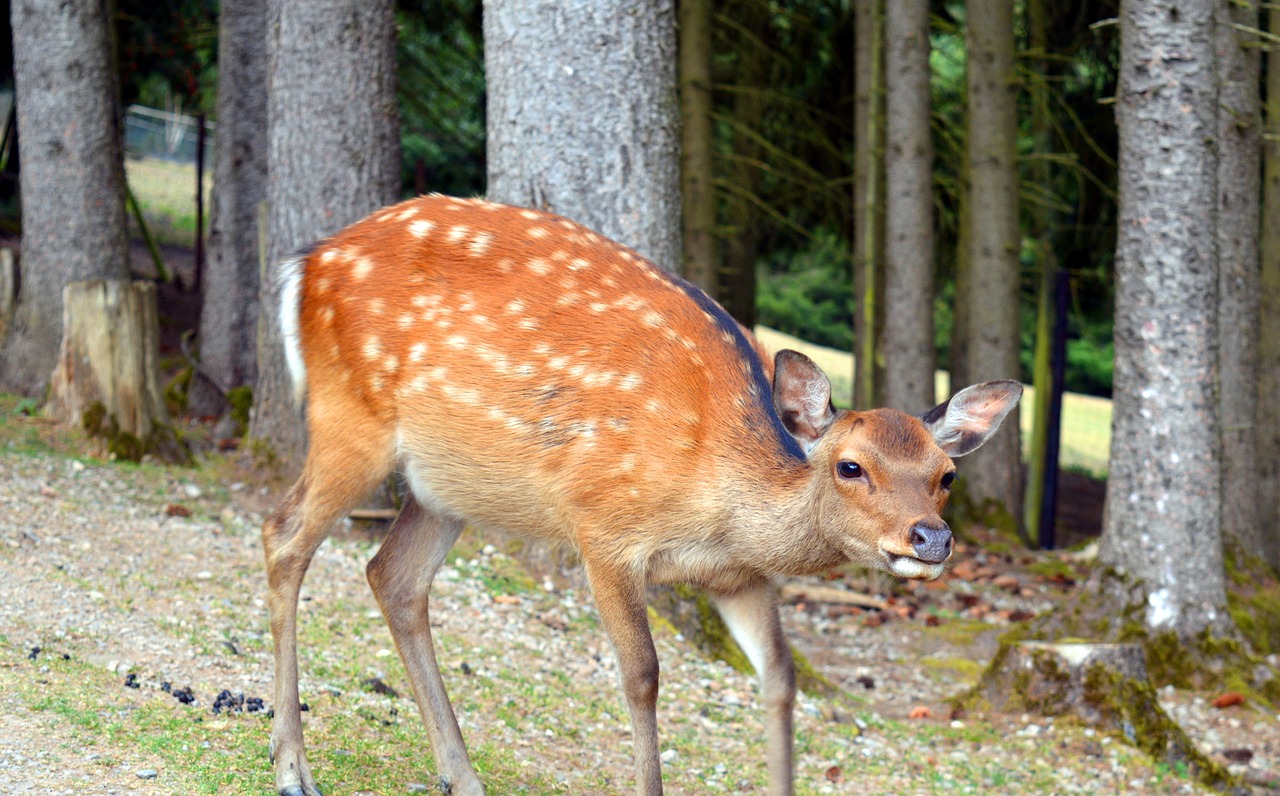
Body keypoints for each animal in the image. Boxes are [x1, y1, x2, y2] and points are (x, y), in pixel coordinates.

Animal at [259, 194, 1018, 796]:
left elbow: (780, 680)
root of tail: (306, 265)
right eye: (851, 467)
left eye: (945, 475)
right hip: (350, 417)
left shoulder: (739, 575)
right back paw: (293, 767)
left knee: (393, 575)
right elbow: (643, 675)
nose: (931, 537)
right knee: (284, 535)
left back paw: (462, 776)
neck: (719, 501)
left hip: (444, 484)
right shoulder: (604, 527)